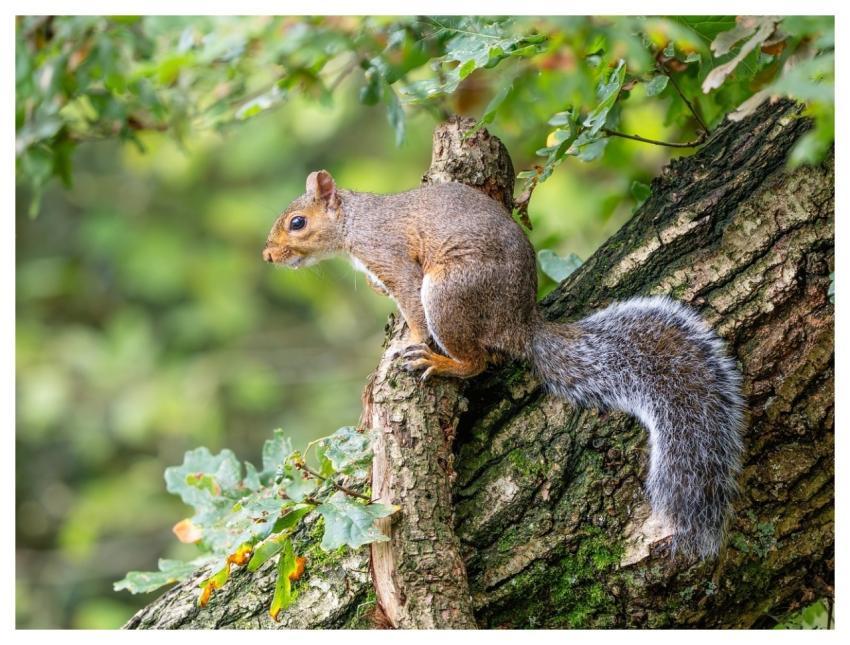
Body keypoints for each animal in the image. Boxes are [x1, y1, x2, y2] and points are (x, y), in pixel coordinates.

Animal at [262, 170, 744, 559]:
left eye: (297, 222)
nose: (268, 256)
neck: (354, 225)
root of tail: (519, 323)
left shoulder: (392, 257)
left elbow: (409, 301)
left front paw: (412, 340)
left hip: (449, 294)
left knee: (476, 361)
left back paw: (441, 360)